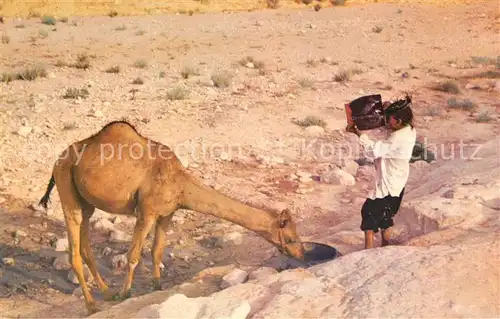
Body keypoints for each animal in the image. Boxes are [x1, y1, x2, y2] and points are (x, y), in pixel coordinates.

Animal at [38, 120, 304, 316]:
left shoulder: (167, 214)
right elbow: (133, 256)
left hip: (86, 203)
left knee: (85, 247)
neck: (181, 184)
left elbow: (157, 251)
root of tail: (58, 160)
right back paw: (93, 305)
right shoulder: (146, 212)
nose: (301, 254)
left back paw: (106, 294)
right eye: (291, 238)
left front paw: (157, 287)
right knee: (74, 251)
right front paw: (125, 294)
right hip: (67, 189)